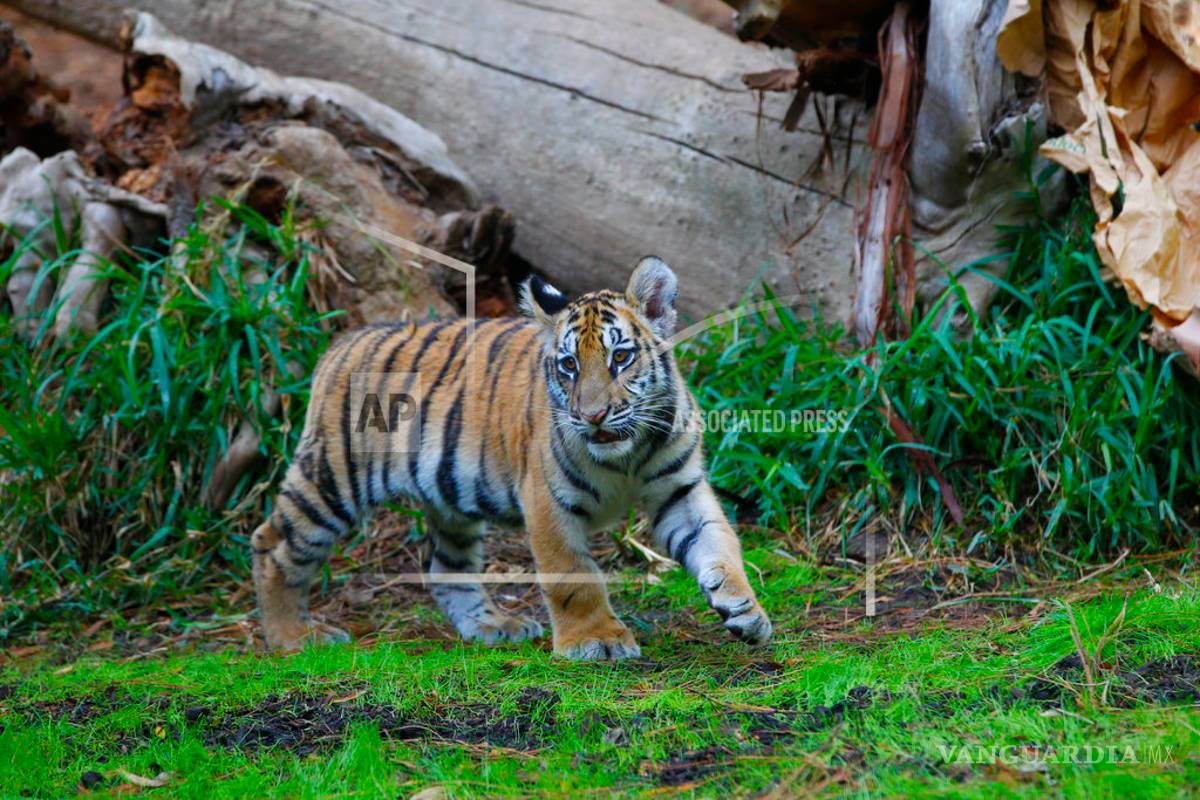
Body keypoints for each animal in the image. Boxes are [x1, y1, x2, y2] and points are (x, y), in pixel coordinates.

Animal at [250, 256, 772, 659]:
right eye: (569, 365)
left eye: (620, 358)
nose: (593, 415)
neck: (627, 454)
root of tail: (341, 344)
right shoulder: (546, 501)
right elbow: (573, 575)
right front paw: (596, 641)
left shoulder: (679, 490)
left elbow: (719, 544)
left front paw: (745, 610)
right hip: (334, 479)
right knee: (272, 544)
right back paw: (293, 638)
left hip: (449, 497)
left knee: (447, 569)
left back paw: (492, 626)